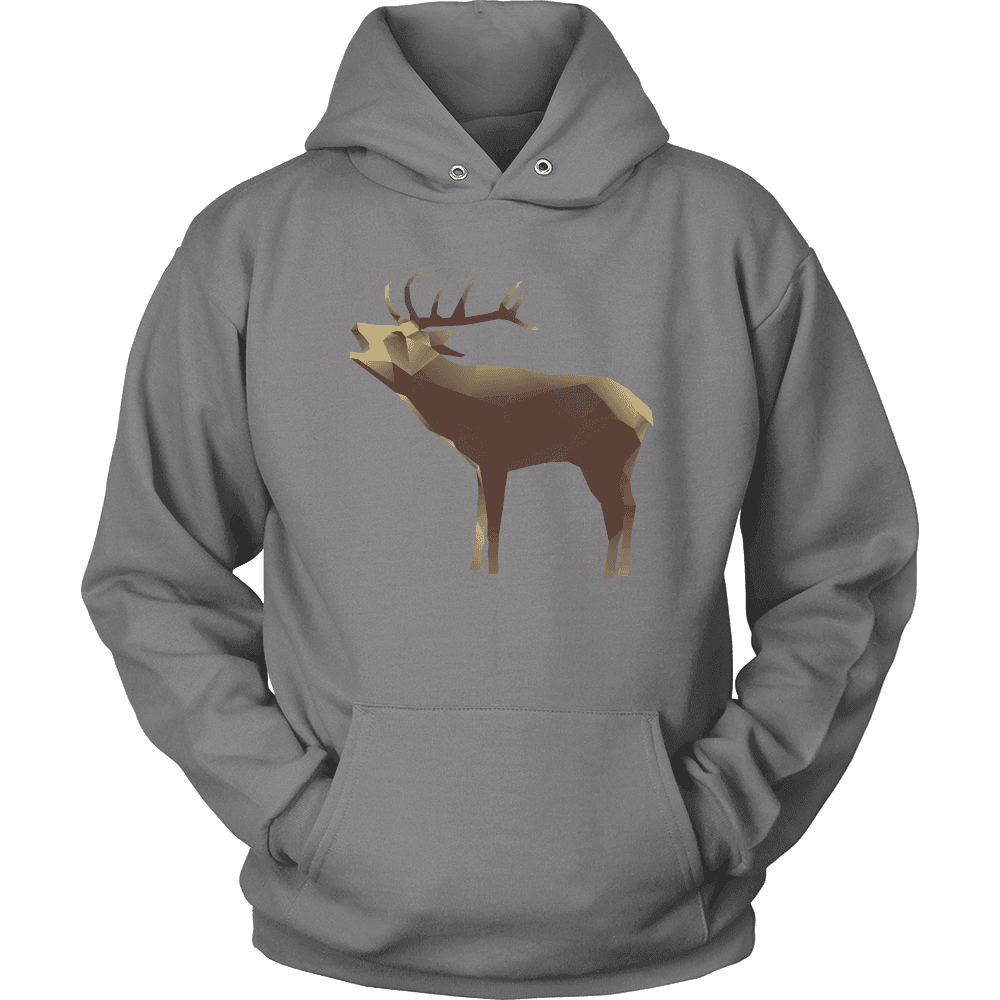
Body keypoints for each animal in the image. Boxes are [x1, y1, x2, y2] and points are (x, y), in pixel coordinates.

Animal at [349, 274, 653, 577]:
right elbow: (480, 520)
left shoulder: (495, 460)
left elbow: (493, 523)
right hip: (624, 465)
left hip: (599, 461)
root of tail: (644, 413)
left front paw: (492, 571)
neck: (456, 407)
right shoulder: (479, 465)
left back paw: (609, 573)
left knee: (614, 514)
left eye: (398, 335)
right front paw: (474, 569)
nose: (355, 326)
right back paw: (623, 570)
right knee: (630, 507)